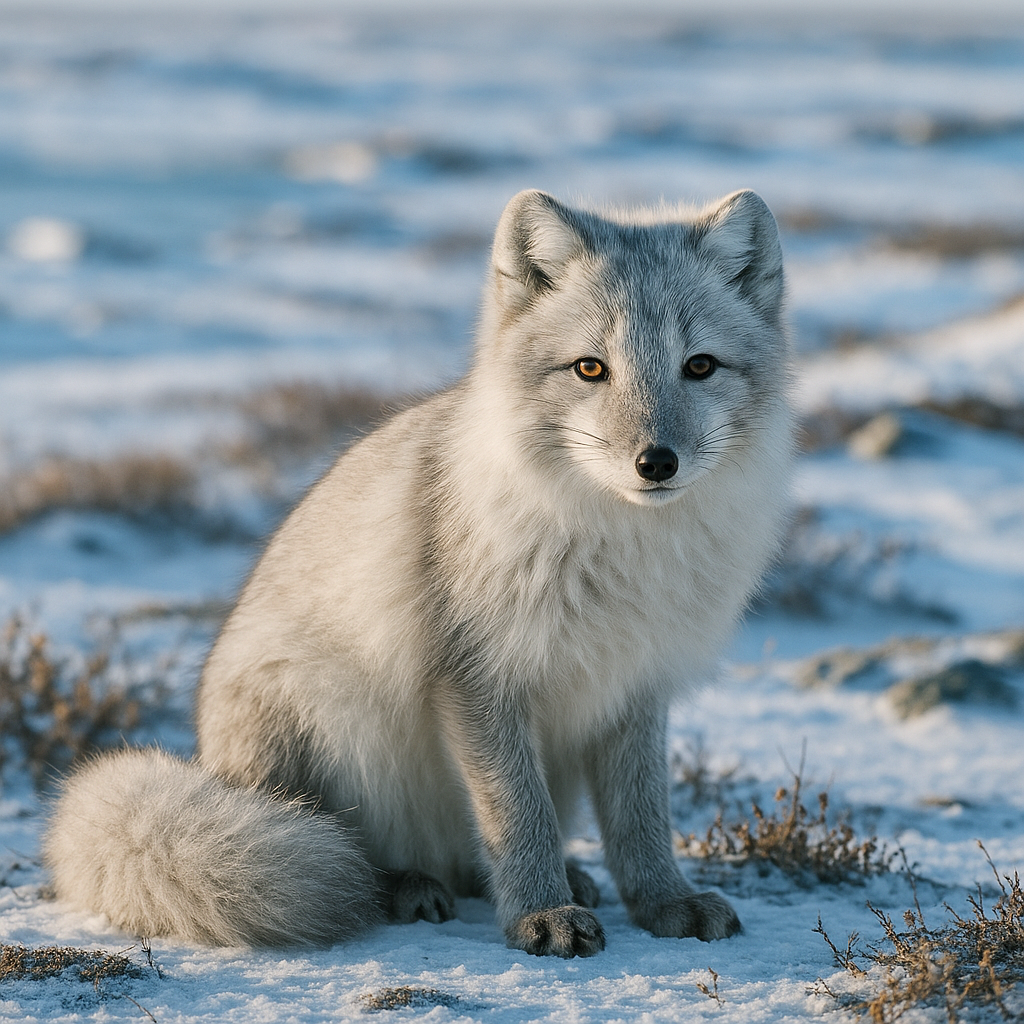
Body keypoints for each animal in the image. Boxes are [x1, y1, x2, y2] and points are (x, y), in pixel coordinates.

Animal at [45, 188, 792, 958]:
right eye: (590, 369)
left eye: (700, 366)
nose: (656, 462)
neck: (624, 550)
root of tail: (210, 760)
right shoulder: (476, 677)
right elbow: (517, 814)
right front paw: (541, 914)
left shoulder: (635, 685)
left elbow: (642, 819)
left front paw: (662, 902)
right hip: (314, 721)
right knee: (342, 846)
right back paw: (401, 886)